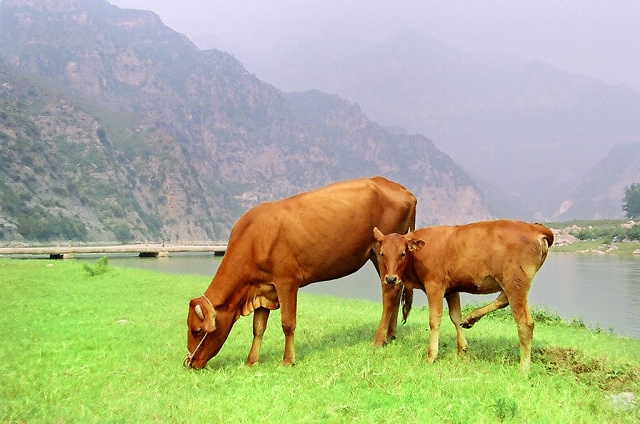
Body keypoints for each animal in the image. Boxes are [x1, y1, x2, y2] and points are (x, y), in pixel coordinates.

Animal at [185, 176, 416, 368]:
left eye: (197, 331)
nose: (189, 363)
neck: (254, 240)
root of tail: (403, 190)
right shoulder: (263, 288)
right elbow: (258, 327)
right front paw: (251, 361)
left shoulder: (287, 281)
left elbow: (288, 323)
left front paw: (287, 361)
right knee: (396, 290)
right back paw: (390, 336)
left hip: (382, 251)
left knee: (389, 292)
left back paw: (378, 340)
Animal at [372, 220, 552, 372]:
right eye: (382, 254)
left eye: (402, 253)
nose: (390, 279)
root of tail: (533, 227)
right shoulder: (452, 289)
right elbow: (455, 316)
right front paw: (462, 348)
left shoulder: (434, 286)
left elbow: (434, 319)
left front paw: (431, 356)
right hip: (509, 283)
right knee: (503, 300)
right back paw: (471, 317)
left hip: (515, 283)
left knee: (525, 323)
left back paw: (523, 369)